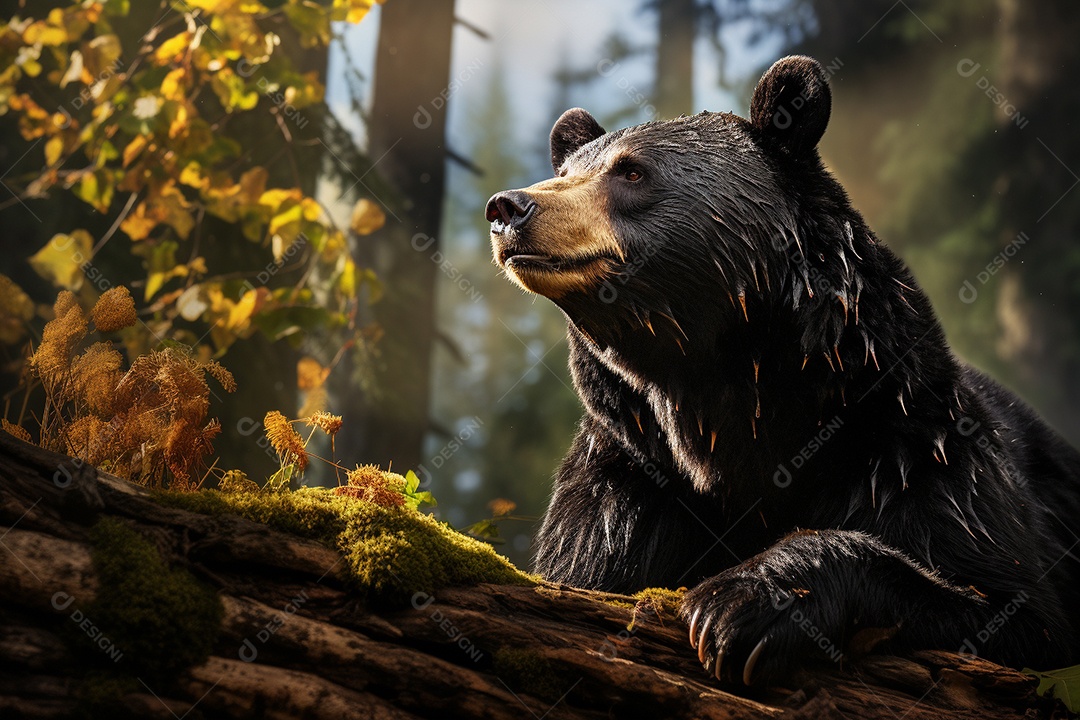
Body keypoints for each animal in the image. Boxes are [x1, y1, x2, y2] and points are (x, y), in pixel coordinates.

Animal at [485, 55, 1080, 685]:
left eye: (632, 172)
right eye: (568, 168)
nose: (509, 208)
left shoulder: (913, 445)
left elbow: (1004, 605)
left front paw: (738, 605)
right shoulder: (629, 478)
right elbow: (586, 569)